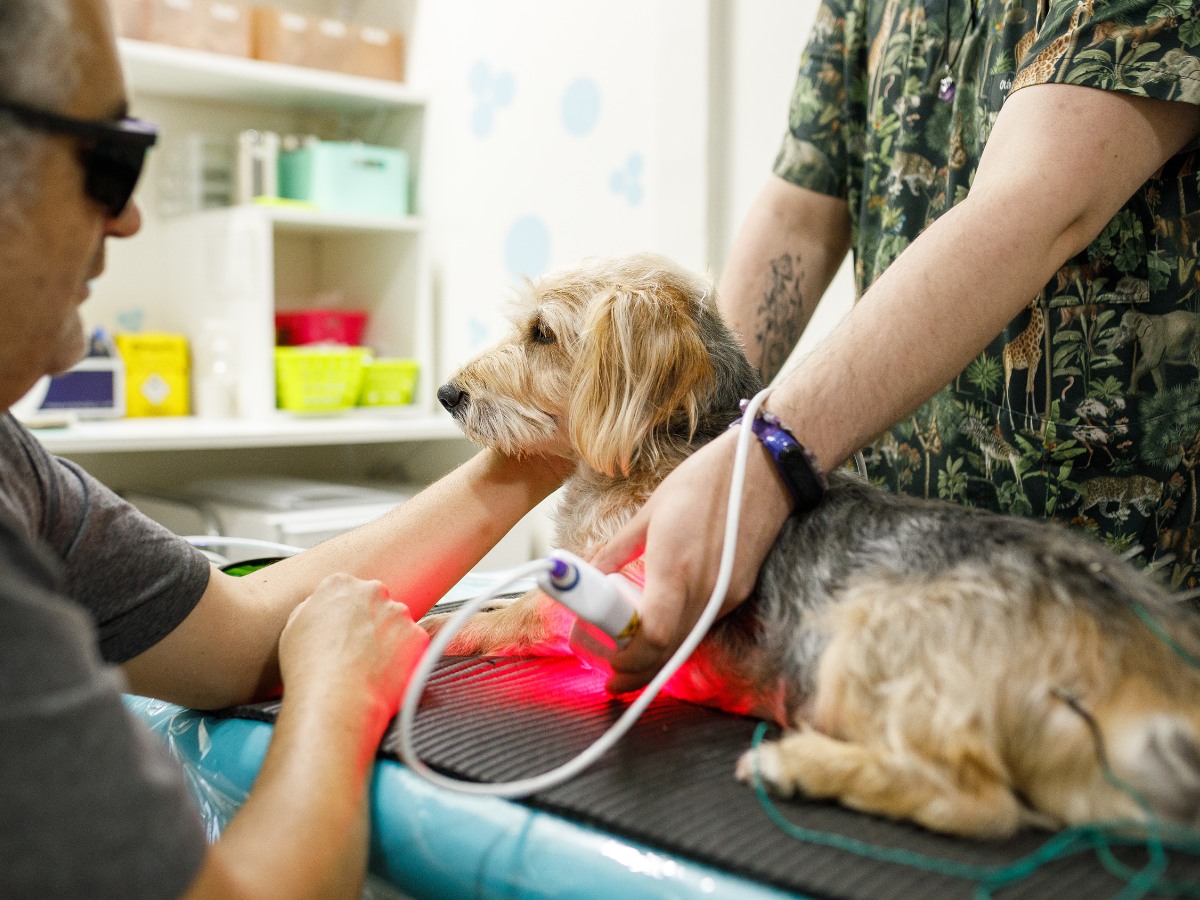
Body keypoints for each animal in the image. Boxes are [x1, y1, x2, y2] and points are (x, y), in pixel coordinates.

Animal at [429, 252, 1200, 840]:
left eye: (542, 334)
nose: (446, 393)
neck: (667, 444)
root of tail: (1142, 650)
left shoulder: (611, 591)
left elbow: (514, 614)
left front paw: (440, 631)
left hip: (867, 639)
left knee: (979, 804)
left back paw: (798, 766)